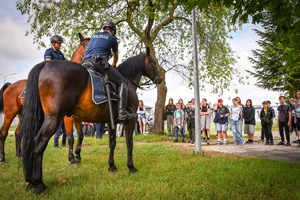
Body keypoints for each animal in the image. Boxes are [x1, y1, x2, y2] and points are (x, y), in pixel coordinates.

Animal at [0, 33, 89, 162]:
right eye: (87, 44)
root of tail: (11, 85)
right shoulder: (68, 117)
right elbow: (70, 137)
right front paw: (72, 158)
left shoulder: (77, 116)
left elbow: (81, 135)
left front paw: (78, 156)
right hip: (10, 112)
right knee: (4, 132)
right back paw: (2, 157)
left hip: (22, 114)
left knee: (18, 133)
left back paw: (20, 154)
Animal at [19, 47, 163, 194]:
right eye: (153, 62)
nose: (160, 78)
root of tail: (45, 65)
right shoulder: (131, 120)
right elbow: (129, 144)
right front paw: (131, 167)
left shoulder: (111, 121)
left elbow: (112, 143)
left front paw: (111, 165)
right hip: (54, 118)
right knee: (38, 143)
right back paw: (39, 184)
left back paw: (31, 181)